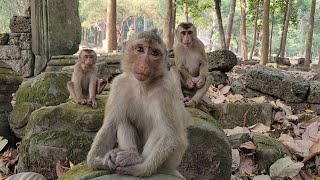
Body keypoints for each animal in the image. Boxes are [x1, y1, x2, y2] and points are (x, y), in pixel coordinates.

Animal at [85, 28, 190, 176]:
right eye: (140, 49)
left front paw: (139, 169)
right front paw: (98, 161)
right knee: (122, 120)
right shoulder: (118, 85)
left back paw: (136, 159)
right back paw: (131, 153)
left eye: (154, 53)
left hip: (172, 160)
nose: (144, 65)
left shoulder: (166, 90)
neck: (142, 86)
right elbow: (110, 125)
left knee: (161, 129)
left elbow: (171, 136)